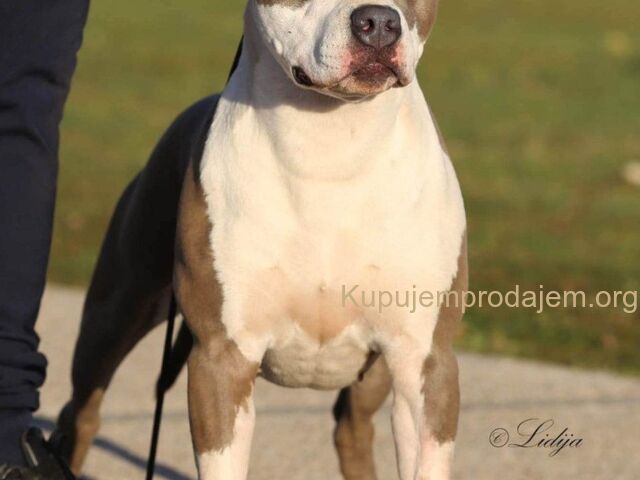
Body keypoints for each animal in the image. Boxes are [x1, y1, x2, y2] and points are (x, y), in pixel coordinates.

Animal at [54, 0, 467, 478]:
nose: (378, 23)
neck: (332, 146)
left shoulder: (424, 357)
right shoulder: (222, 357)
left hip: (377, 372)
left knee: (352, 428)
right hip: (113, 315)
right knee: (80, 412)